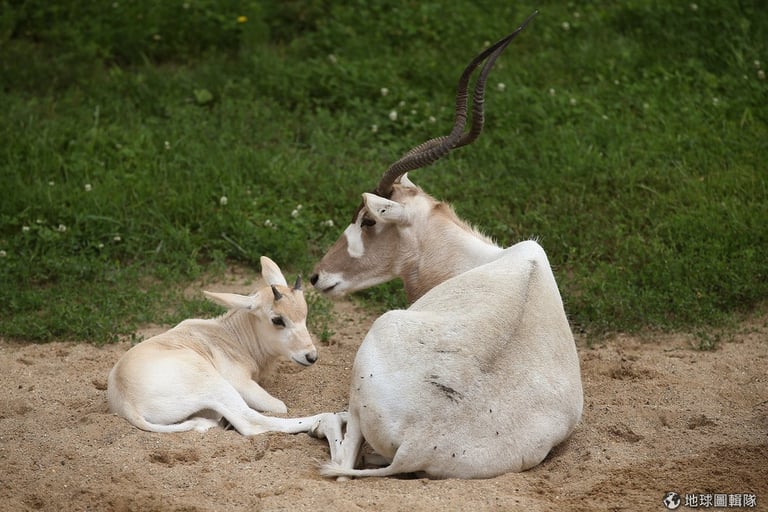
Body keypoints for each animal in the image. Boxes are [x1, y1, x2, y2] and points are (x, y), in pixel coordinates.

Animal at [308, 14, 584, 482]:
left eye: (367, 220)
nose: (317, 276)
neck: (482, 259)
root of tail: (420, 440)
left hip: (378, 333)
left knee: (342, 452)